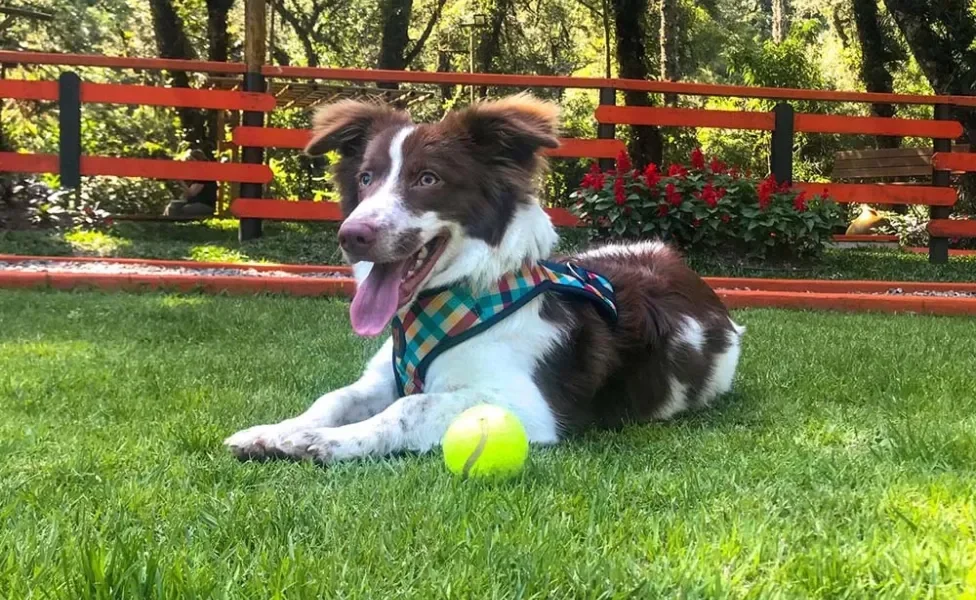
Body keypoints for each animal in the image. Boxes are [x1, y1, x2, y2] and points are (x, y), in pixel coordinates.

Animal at [225, 95, 744, 464]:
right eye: (367, 178)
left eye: (428, 179)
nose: (351, 236)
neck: (452, 298)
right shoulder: (382, 379)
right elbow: (333, 398)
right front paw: (276, 431)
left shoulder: (530, 406)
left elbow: (409, 407)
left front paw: (328, 442)